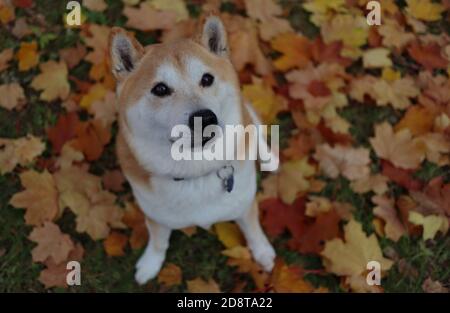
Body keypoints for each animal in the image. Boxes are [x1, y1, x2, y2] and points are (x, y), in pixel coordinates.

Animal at [110, 14, 274, 284]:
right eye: (160, 89)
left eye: (207, 79)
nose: (205, 118)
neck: (195, 171)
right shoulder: (155, 217)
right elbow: (158, 243)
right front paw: (150, 264)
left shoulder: (245, 206)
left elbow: (253, 230)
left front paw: (262, 252)